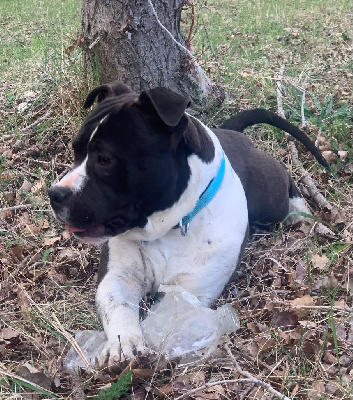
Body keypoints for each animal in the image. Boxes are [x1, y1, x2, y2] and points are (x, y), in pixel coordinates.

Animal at [48, 81, 328, 366]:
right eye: (75, 150)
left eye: (104, 159)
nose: (55, 194)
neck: (170, 227)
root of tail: (232, 132)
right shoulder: (119, 277)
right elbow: (119, 307)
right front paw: (125, 344)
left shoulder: (186, 293)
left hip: (269, 197)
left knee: (283, 175)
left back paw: (299, 210)